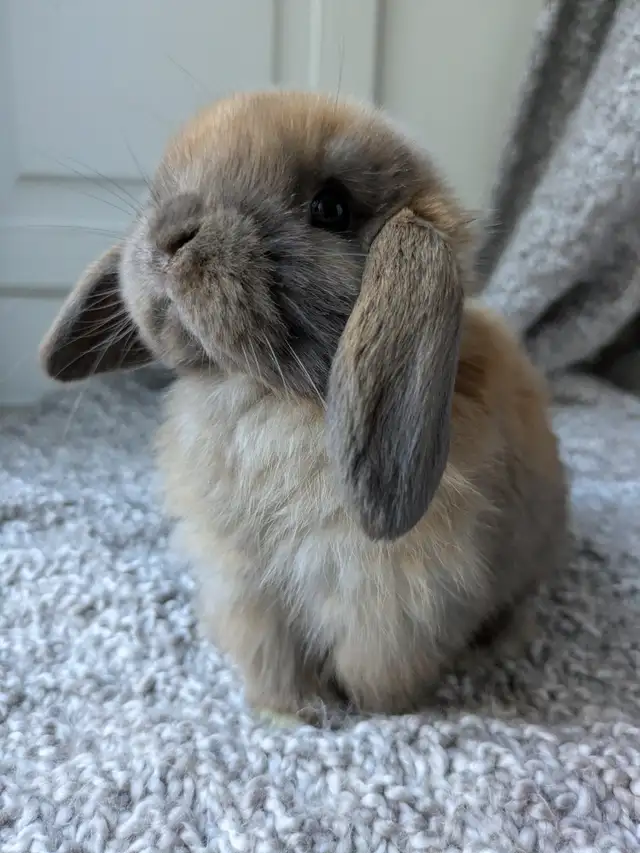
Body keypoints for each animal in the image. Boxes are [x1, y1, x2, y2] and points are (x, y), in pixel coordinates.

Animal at [39, 90, 569, 723]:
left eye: (331, 208)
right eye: (165, 189)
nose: (169, 234)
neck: (265, 396)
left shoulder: (388, 600)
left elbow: (373, 670)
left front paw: (374, 713)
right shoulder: (245, 583)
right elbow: (271, 655)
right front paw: (289, 711)